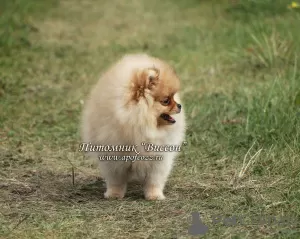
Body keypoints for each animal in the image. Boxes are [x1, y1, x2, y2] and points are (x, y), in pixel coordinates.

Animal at [81, 53, 186, 200]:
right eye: (166, 101)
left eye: (174, 97)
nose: (179, 105)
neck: (139, 127)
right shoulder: (113, 158)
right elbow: (116, 180)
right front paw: (114, 194)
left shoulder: (158, 159)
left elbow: (154, 180)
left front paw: (154, 195)